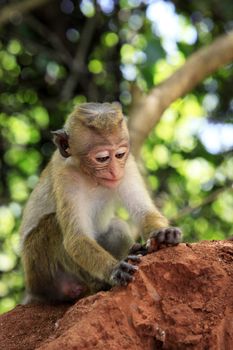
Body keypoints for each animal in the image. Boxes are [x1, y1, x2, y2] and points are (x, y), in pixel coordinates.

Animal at [20, 102, 182, 304]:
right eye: (102, 158)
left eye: (120, 154)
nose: (115, 171)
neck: (91, 177)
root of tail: (31, 291)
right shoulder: (65, 177)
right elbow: (76, 238)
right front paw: (114, 270)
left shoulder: (128, 165)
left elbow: (145, 212)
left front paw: (164, 235)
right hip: (39, 271)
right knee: (52, 223)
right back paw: (97, 285)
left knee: (116, 228)